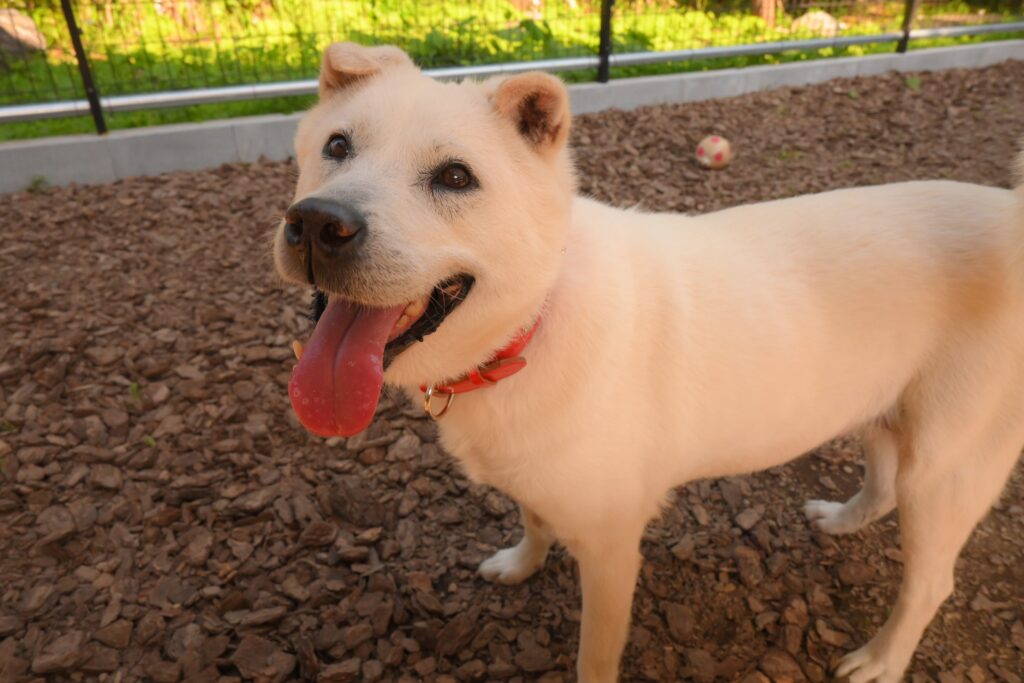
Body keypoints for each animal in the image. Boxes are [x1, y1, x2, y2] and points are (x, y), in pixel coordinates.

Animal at [273, 42, 1024, 682]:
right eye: (337, 146)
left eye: (456, 177)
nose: (316, 222)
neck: (533, 322)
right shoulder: (535, 479)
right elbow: (533, 518)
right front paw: (521, 563)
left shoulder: (611, 550)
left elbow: (595, 654)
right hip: (884, 409)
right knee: (883, 481)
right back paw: (845, 518)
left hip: (949, 471)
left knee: (930, 581)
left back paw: (881, 659)